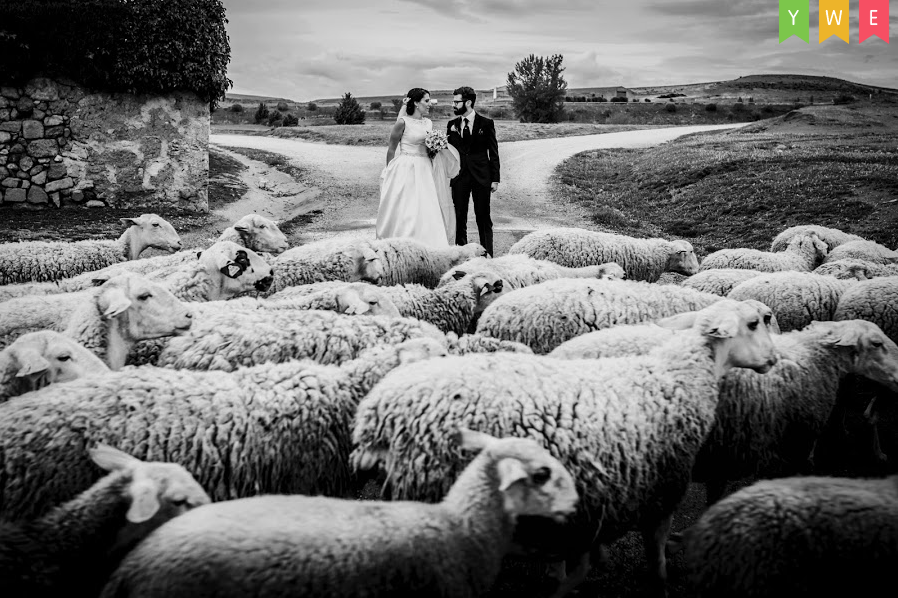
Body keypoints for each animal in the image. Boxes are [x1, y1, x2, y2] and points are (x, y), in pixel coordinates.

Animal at [352, 299, 778, 596]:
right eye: (754, 323)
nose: (774, 360)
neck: (677, 377)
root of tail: (377, 414)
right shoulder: (662, 490)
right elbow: (656, 555)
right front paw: (660, 586)